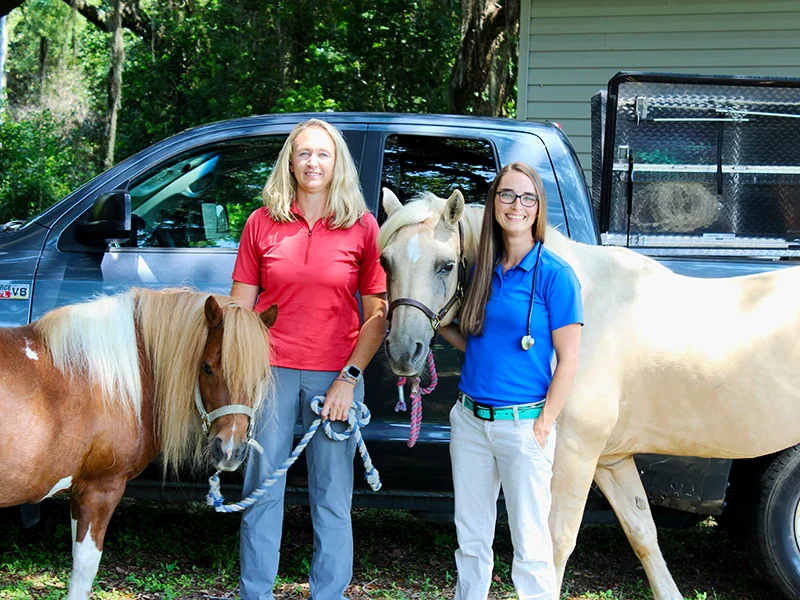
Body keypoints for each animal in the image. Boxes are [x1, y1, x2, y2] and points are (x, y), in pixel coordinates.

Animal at [0, 288, 278, 596]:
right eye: (206, 368)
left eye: (261, 374)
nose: (230, 450)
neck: (110, 379)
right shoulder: (100, 488)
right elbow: (85, 566)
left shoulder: (78, 489)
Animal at [378, 191, 800, 600]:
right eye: (386, 262)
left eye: (446, 265)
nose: (403, 351)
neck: (587, 304)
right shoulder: (611, 460)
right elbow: (643, 532)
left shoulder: (572, 452)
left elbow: (554, 543)